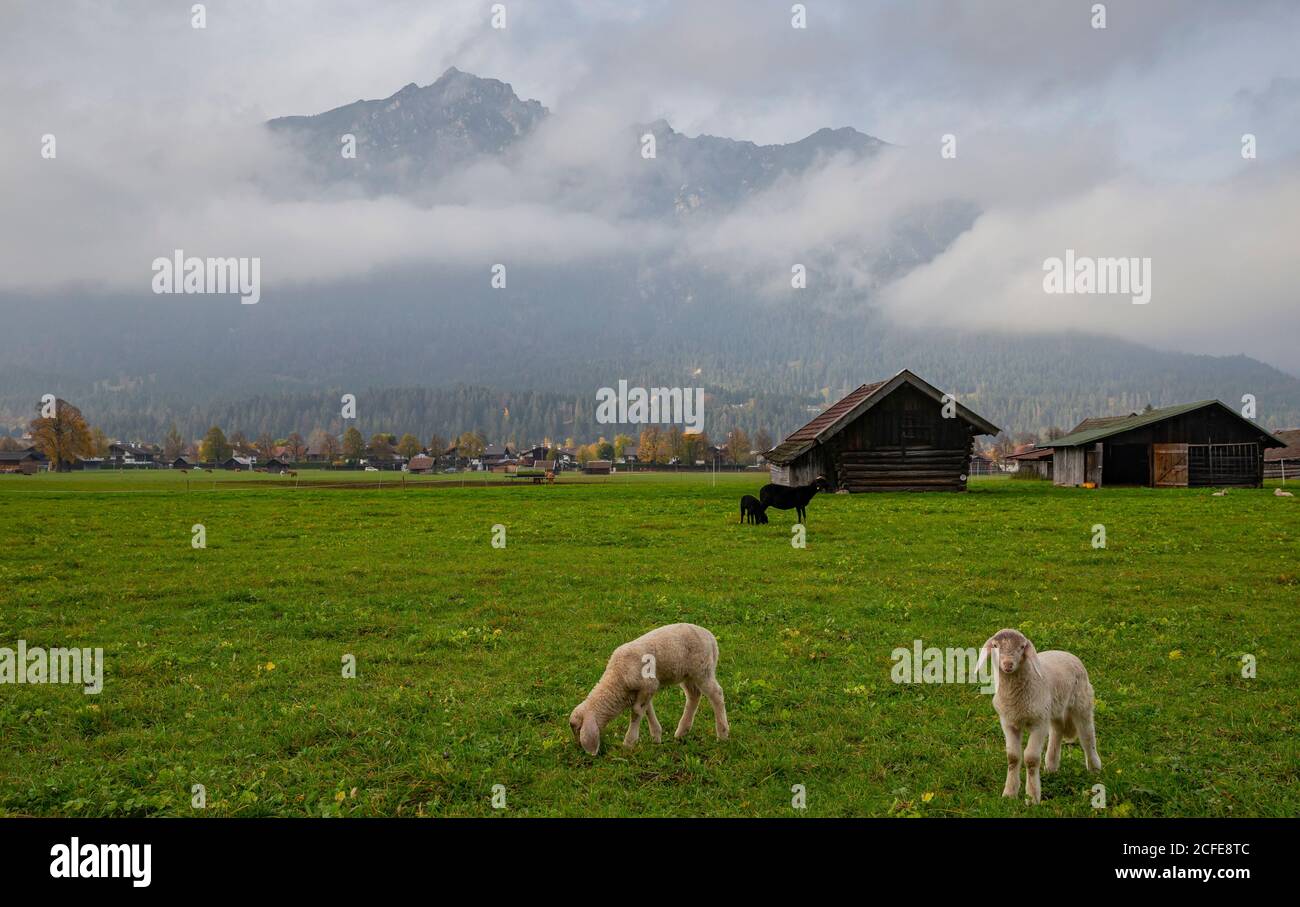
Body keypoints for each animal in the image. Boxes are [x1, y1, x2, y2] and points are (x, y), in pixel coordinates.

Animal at [569, 618, 733, 753]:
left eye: (577, 729)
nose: (578, 748)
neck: (616, 680)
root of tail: (711, 637)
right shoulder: (645, 690)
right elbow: (647, 710)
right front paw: (656, 736)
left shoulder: (648, 684)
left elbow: (636, 712)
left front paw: (629, 742)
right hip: (688, 675)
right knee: (694, 696)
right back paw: (681, 732)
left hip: (702, 670)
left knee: (716, 694)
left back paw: (722, 734)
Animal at [972, 626, 1102, 800]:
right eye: (995, 646)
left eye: (1021, 647)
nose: (1008, 664)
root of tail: (1065, 653)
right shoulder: (1008, 722)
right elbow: (1013, 757)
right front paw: (1009, 793)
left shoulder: (1038, 723)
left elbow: (1031, 758)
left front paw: (1032, 797)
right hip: (1054, 708)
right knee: (1058, 730)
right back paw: (1052, 766)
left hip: (1082, 704)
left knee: (1087, 736)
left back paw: (1095, 769)